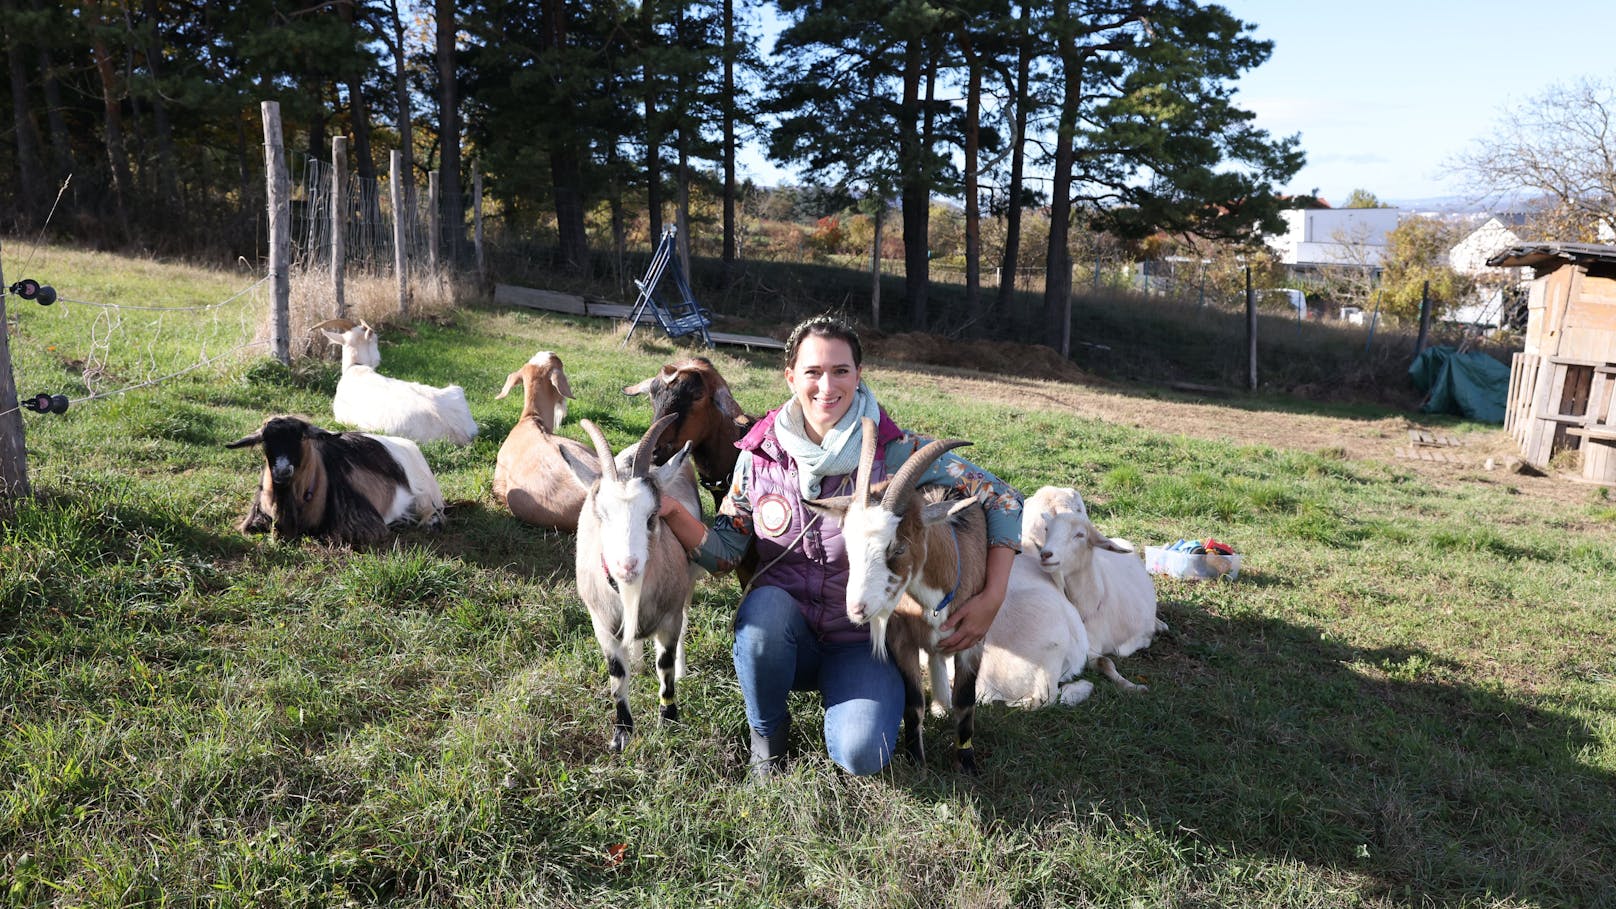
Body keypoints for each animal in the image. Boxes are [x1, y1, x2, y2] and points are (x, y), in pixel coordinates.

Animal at [318, 318, 475, 446]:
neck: (356, 368)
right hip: (456, 392)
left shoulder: (340, 418)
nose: (378, 358)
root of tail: (459, 433)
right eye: (376, 340)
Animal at [562, 412, 701, 750]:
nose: (627, 566)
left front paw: (669, 721)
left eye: (652, 516)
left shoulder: (669, 617)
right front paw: (622, 733)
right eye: (601, 515)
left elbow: (664, 664)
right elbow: (616, 673)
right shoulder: (601, 623)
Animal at [1034, 504, 1163, 689]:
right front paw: (1131, 685)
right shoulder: (1084, 649)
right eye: (1047, 529)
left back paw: (1160, 624)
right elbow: (1105, 661)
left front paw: (1133, 686)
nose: (1045, 554)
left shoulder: (1136, 636)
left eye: (1080, 535)